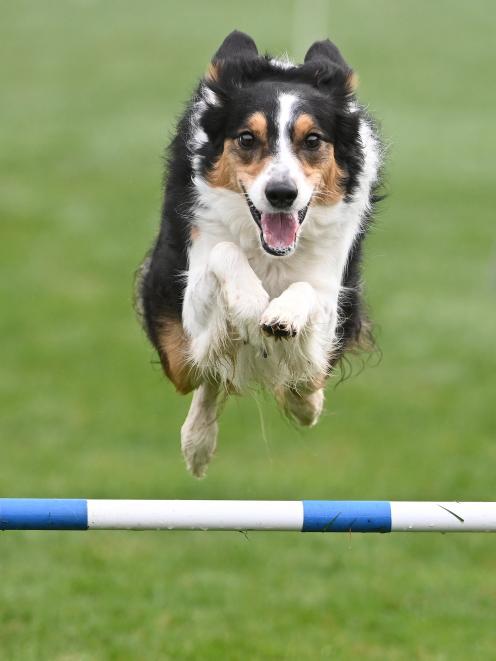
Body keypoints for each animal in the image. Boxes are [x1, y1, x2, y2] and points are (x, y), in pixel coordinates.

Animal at [139, 32, 384, 474]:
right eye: (247, 139)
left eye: (313, 140)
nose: (281, 194)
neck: (271, 253)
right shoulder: (194, 297)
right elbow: (224, 253)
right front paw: (253, 304)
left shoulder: (331, 297)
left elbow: (309, 294)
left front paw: (283, 316)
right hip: (175, 343)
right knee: (206, 371)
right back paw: (197, 442)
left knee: (298, 383)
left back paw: (301, 401)